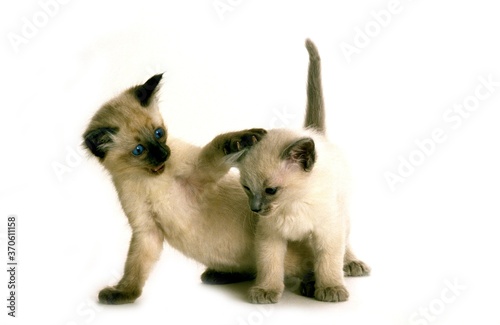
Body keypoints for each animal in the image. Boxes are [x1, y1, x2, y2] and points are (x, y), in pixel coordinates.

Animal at [232, 39, 370, 302]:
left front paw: (330, 288)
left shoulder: (328, 232)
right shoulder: (269, 236)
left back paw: (349, 265)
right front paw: (266, 290)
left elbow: (328, 262)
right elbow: (270, 265)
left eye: (271, 190)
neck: (292, 204)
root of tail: (314, 133)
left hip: (341, 215)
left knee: (344, 245)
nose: (255, 209)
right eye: (246, 188)